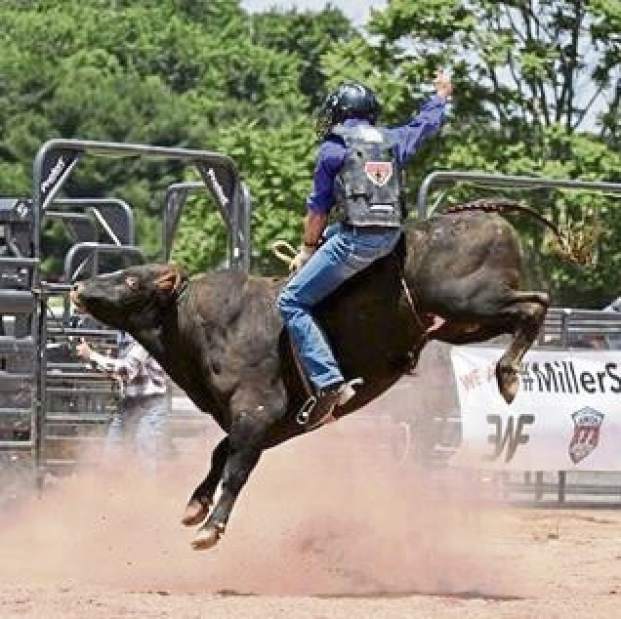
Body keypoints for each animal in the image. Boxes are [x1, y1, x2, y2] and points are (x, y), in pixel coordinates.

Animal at [71, 200, 568, 552]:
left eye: (131, 281)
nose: (77, 287)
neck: (199, 322)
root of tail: (487, 219)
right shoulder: (275, 424)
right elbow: (218, 453)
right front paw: (195, 505)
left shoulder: (258, 411)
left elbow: (235, 468)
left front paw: (210, 528)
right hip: (462, 322)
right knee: (532, 306)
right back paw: (508, 373)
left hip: (468, 300)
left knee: (535, 305)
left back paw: (508, 374)